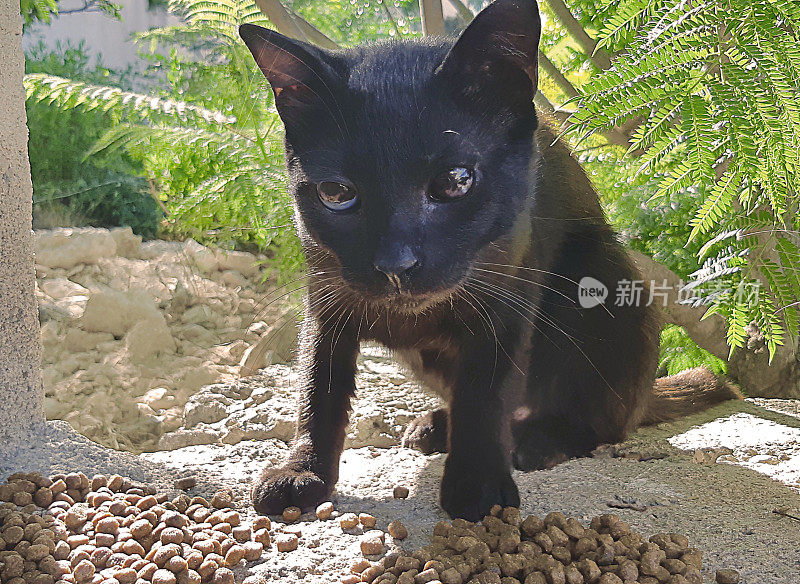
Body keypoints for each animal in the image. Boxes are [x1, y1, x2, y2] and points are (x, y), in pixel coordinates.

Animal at [241, 0, 740, 520]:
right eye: (336, 194)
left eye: (456, 180)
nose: (396, 264)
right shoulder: (327, 301)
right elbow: (319, 388)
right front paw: (302, 471)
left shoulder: (505, 303)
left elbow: (487, 395)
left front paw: (477, 481)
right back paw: (438, 425)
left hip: (602, 273)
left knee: (604, 420)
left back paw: (543, 438)